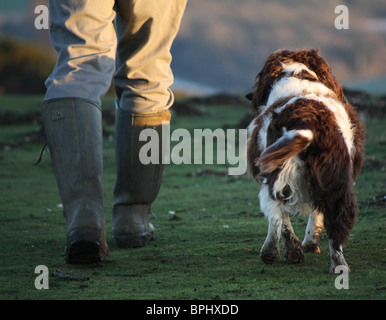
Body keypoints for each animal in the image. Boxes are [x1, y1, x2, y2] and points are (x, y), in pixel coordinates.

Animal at [247, 48, 364, 272]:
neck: (296, 76)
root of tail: (306, 120)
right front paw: (308, 244)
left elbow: (279, 216)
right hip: (337, 180)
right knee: (337, 221)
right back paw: (338, 265)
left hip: (277, 171)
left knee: (279, 210)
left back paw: (283, 253)